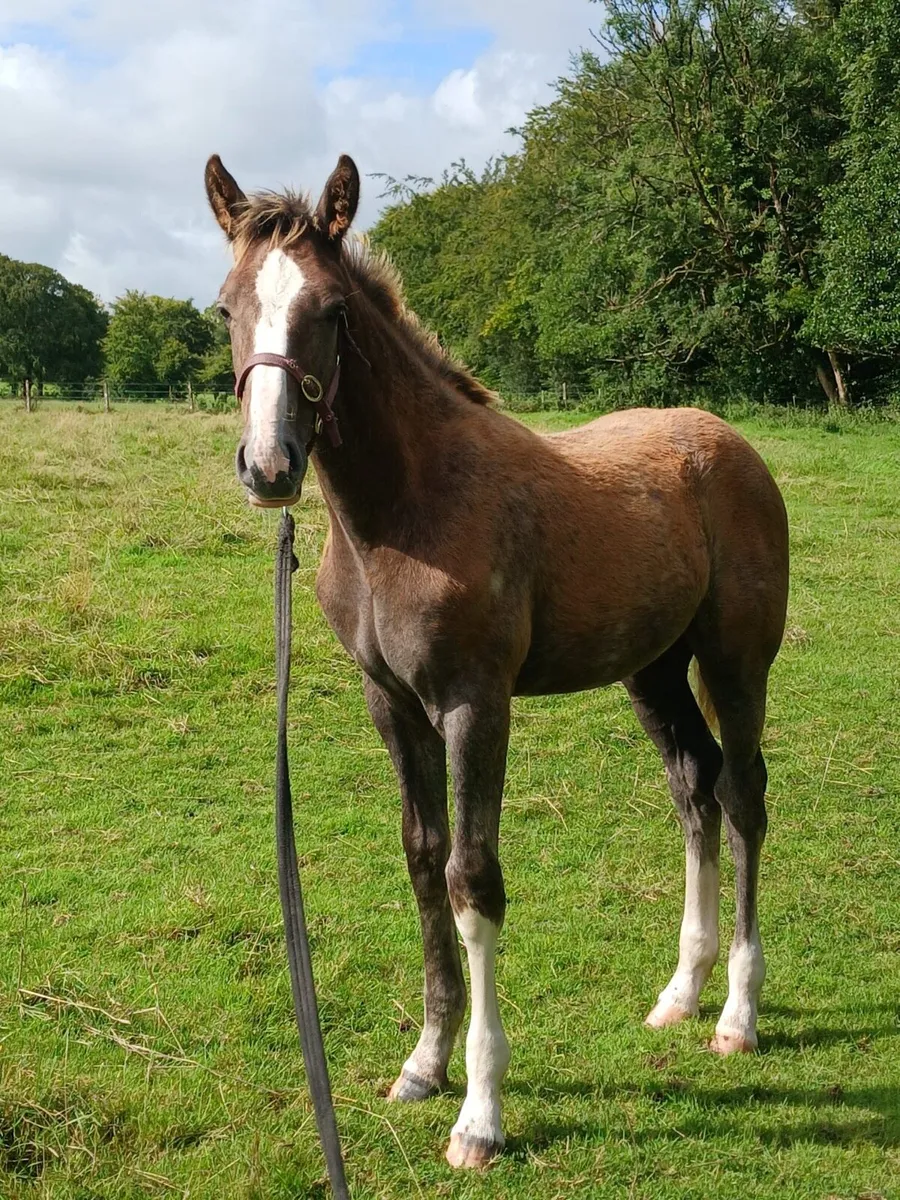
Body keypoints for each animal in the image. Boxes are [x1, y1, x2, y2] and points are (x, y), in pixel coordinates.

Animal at [205, 152, 789, 1169]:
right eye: (226, 306)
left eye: (333, 310)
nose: (269, 467)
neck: (405, 513)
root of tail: (733, 443)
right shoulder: (390, 704)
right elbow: (420, 858)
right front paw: (423, 1064)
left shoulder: (476, 704)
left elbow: (472, 879)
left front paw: (479, 1112)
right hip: (652, 670)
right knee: (694, 787)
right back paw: (681, 993)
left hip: (732, 661)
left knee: (741, 795)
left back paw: (738, 1016)